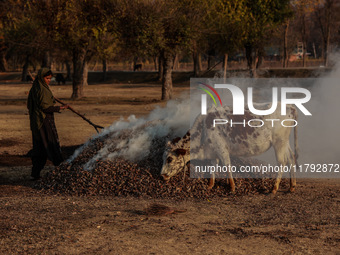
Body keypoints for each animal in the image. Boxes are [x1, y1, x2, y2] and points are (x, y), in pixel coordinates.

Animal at [161, 102, 298, 194]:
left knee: (282, 162)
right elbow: (213, 167)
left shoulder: (222, 149)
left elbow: (227, 166)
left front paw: (232, 186)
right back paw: (292, 185)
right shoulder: (213, 152)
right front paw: (210, 185)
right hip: (285, 143)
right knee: (291, 158)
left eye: (170, 159)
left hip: (279, 143)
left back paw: (274, 188)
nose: (162, 175)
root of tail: (289, 106)